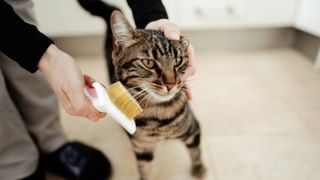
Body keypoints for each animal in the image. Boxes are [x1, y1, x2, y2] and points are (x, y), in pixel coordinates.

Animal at [79, 1, 206, 179]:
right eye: (149, 63)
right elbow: (145, 170)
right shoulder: (141, 148)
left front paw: (199, 169)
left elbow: (196, 151)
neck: (156, 112)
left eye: (178, 61)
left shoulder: (192, 129)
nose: (171, 84)